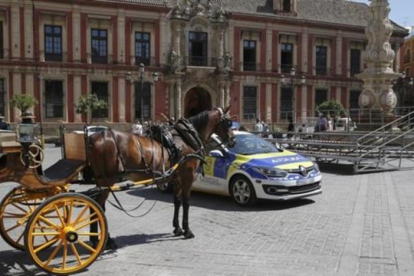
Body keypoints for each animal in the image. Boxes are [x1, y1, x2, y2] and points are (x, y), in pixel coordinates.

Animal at [87, 106, 234, 245]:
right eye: (229, 122)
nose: (233, 140)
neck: (187, 138)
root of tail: (93, 138)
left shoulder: (177, 178)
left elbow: (177, 201)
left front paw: (177, 228)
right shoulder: (188, 176)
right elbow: (186, 203)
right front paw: (187, 230)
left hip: (100, 180)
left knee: (94, 204)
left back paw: (95, 239)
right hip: (108, 180)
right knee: (99, 206)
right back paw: (107, 240)